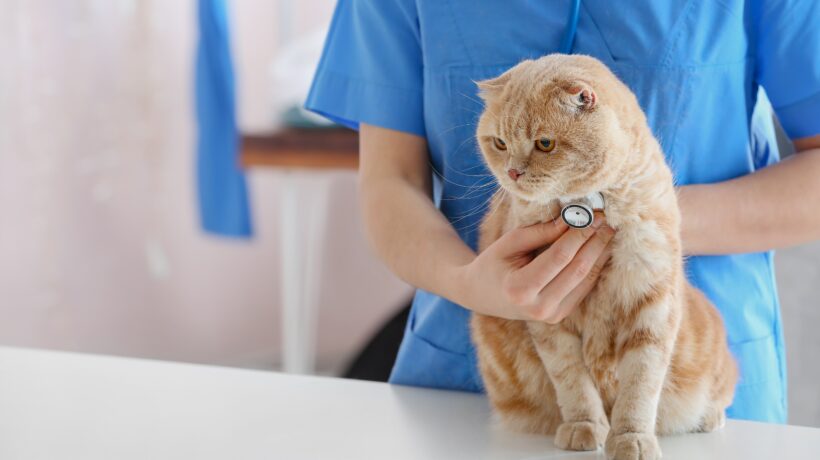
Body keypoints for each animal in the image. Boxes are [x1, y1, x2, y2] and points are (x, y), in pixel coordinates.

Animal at [470, 54, 740, 460]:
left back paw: (710, 417)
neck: (591, 206)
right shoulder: (550, 320)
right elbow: (573, 382)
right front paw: (584, 427)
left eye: (545, 143)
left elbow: (640, 386)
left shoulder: (652, 303)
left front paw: (632, 439)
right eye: (500, 143)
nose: (513, 172)